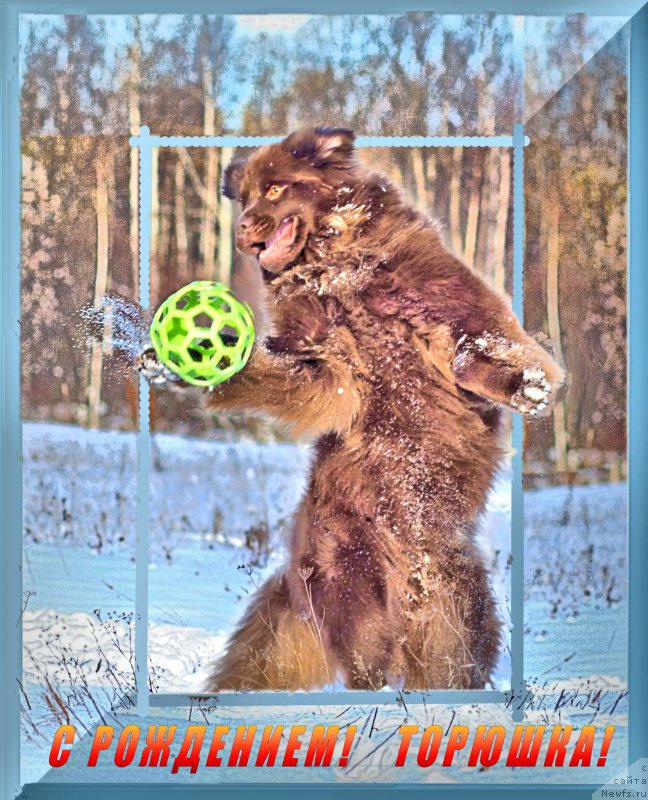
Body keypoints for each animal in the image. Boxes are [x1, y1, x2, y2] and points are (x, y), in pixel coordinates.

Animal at [140, 128, 560, 692]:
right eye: (243, 199)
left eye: (274, 190)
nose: (243, 227)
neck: (334, 270)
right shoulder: (325, 361)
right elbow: (294, 373)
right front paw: (192, 360)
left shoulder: (442, 303)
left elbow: (473, 350)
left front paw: (528, 387)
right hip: (351, 580)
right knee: (366, 661)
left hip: (456, 594)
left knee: (451, 655)